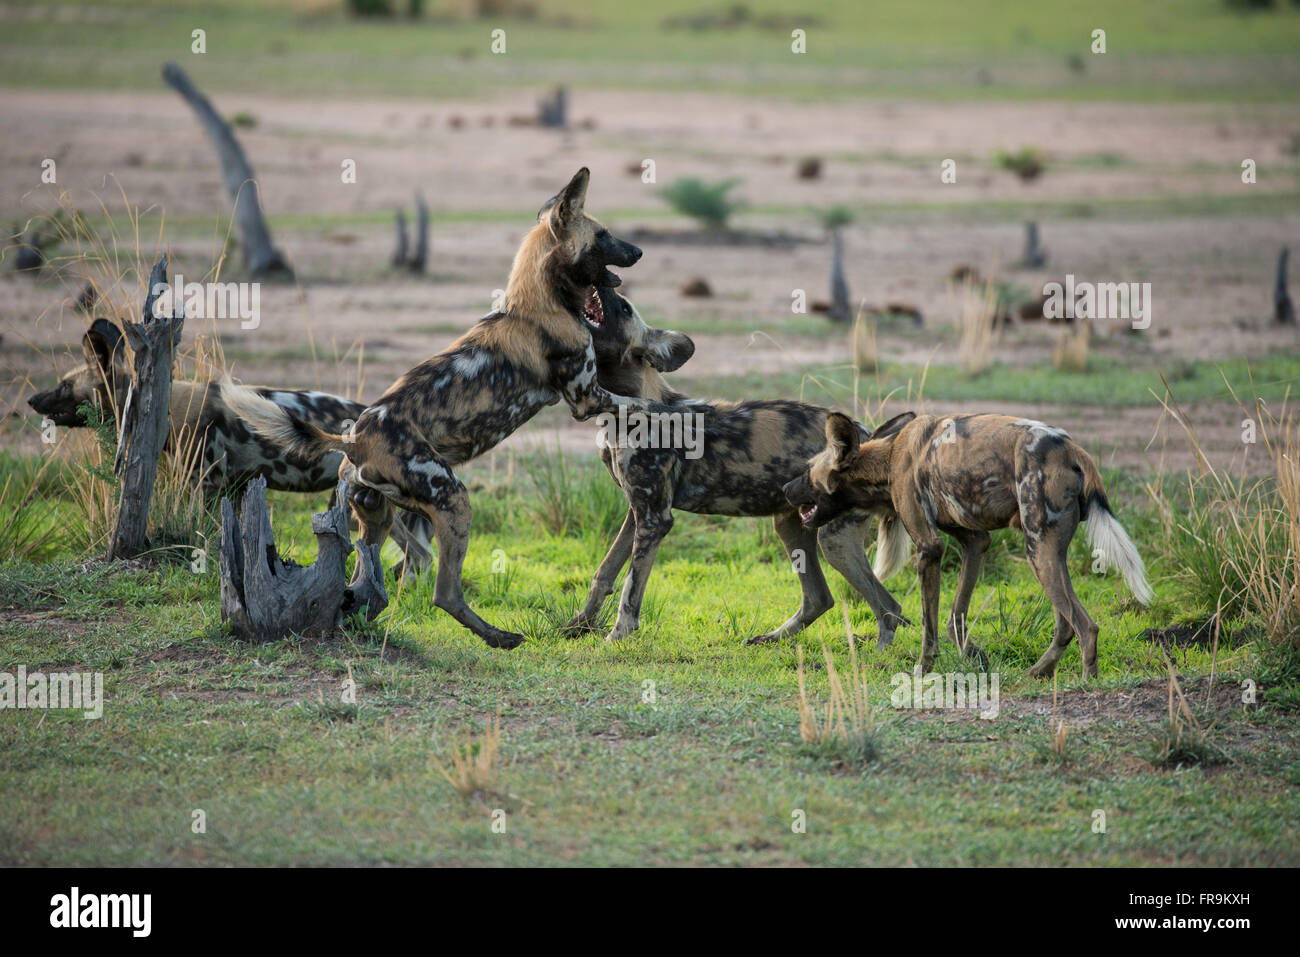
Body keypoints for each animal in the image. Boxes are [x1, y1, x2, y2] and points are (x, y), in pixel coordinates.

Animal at [223, 170, 660, 650]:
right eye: (603, 235)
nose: (639, 251)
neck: (542, 301)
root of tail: (352, 438)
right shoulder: (586, 397)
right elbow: (643, 402)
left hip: (376, 516)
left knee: (365, 581)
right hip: (453, 499)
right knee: (444, 593)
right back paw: (499, 637)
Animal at [569, 283, 915, 642]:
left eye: (624, 309)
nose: (606, 283)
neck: (624, 409)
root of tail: (868, 435)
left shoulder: (654, 519)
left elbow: (630, 588)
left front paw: (617, 637)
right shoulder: (637, 512)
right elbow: (604, 573)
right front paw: (579, 625)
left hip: (834, 540)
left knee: (888, 607)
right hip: (792, 524)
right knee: (819, 598)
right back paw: (771, 638)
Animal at [785, 416, 1154, 676]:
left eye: (807, 471)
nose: (785, 489)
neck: (887, 460)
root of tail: (1071, 448)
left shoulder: (929, 548)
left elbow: (929, 627)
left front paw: (923, 669)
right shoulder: (975, 542)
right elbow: (955, 617)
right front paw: (972, 656)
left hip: (1040, 554)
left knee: (1086, 627)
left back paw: (1085, 683)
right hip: (1048, 555)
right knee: (1065, 624)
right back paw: (1040, 671)